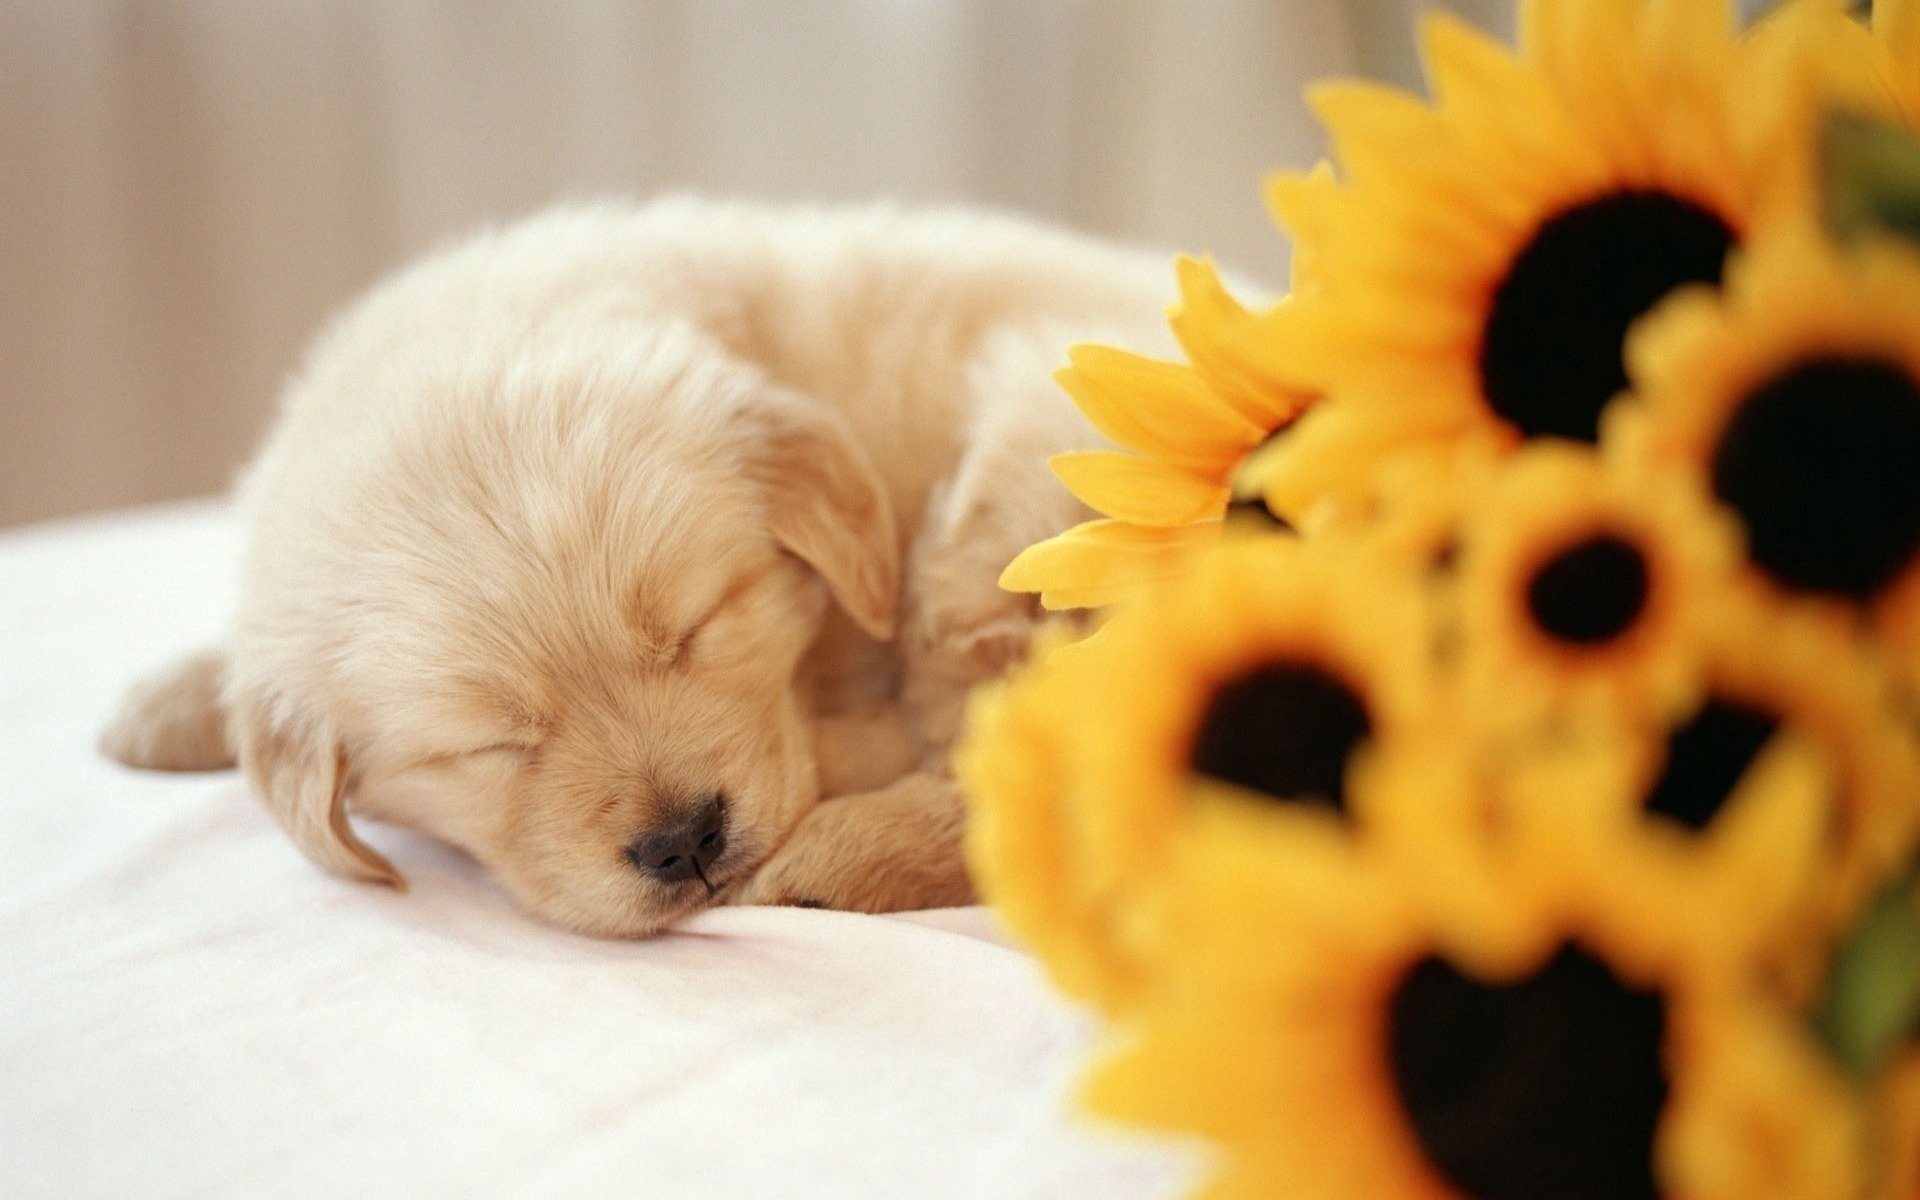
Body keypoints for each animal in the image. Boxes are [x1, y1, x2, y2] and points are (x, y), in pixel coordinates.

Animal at [105, 201, 1182, 936]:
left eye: (697, 625)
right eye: (496, 742)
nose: (686, 843)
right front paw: (169, 705)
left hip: (1021, 484)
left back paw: (836, 848)